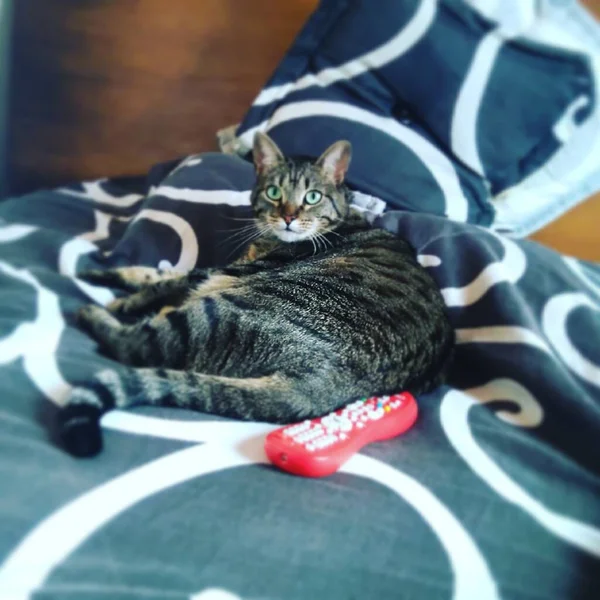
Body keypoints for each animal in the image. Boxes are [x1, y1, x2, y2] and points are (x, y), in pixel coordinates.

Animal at [62, 134, 454, 458]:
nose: (289, 217)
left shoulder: (224, 271)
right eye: (274, 193)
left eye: (312, 196)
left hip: (221, 311)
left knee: (138, 345)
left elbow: (159, 280)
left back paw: (91, 312)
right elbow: (155, 272)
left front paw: (117, 296)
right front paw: (97, 273)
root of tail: (332, 383)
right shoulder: (220, 268)